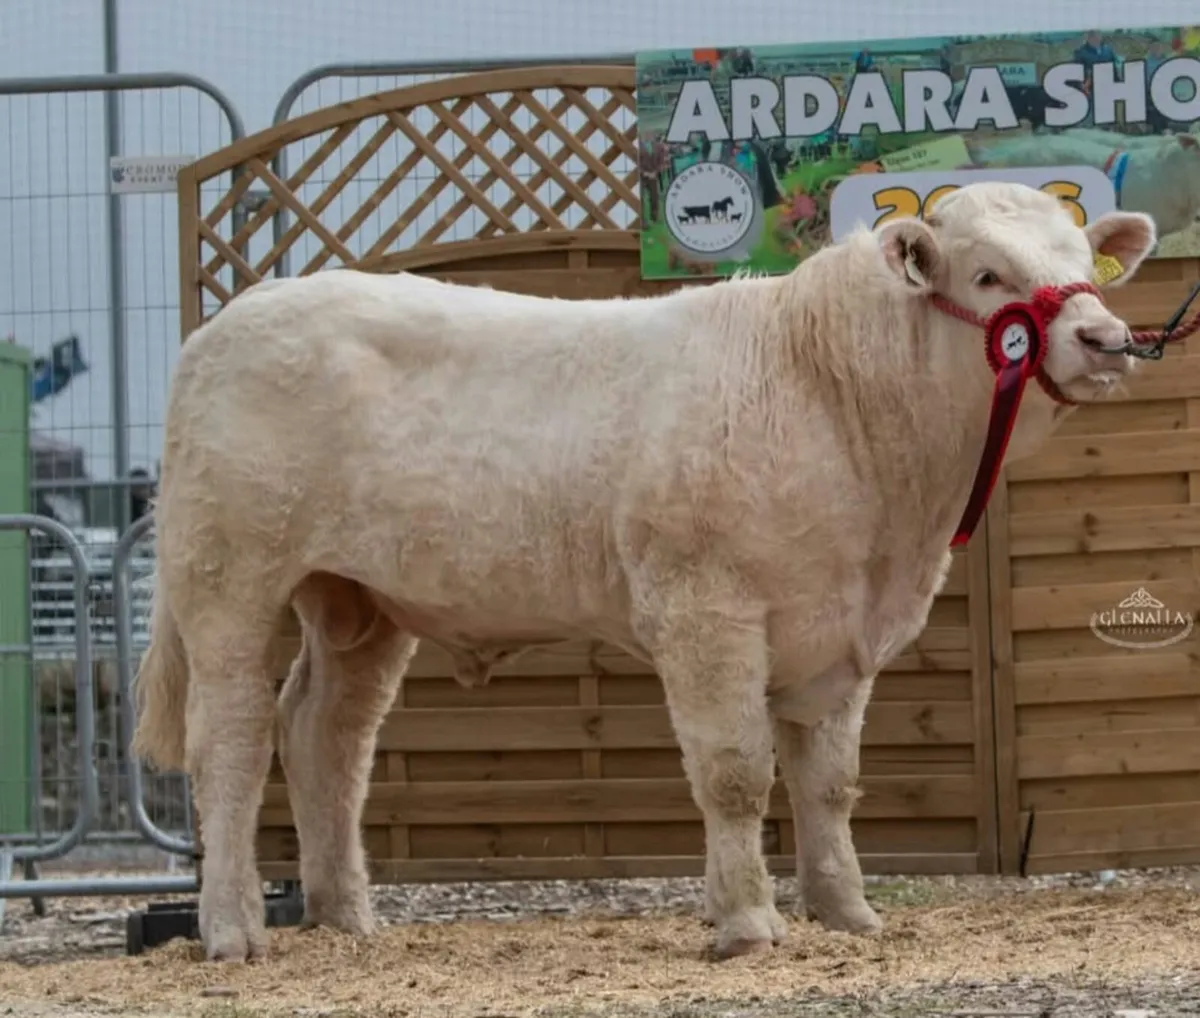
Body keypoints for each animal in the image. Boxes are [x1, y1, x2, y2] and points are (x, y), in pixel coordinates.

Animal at [131, 181, 1158, 964]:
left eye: (1085, 258)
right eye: (989, 275)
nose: (1109, 340)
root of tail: (218, 331)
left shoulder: (840, 633)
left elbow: (829, 783)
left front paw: (846, 913)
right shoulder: (707, 610)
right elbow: (736, 774)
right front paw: (747, 924)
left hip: (358, 601)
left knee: (326, 736)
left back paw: (347, 919)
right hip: (231, 579)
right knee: (231, 740)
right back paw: (234, 931)